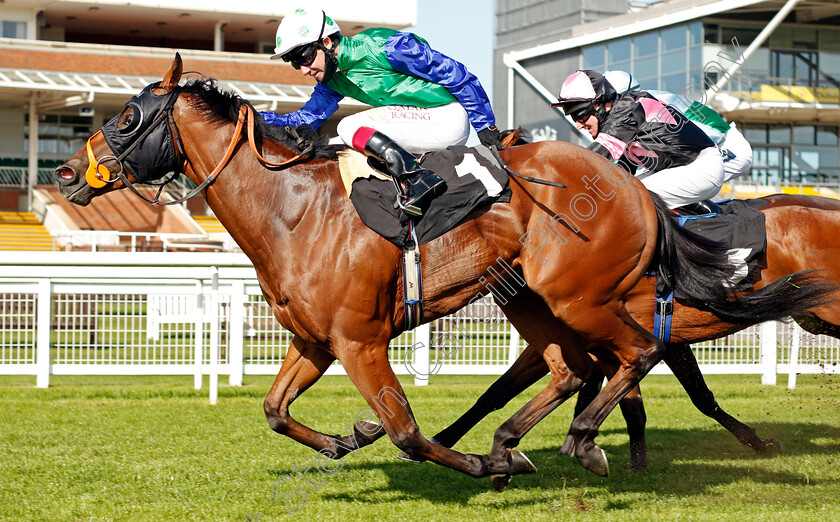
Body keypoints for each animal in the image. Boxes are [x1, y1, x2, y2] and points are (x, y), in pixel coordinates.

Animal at [55, 55, 836, 484]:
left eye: (126, 118)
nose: (63, 175)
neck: (295, 210)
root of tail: (634, 189)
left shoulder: (360, 340)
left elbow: (404, 428)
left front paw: (470, 464)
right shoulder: (314, 340)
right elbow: (275, 411)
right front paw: (343, 439)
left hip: (580, 299)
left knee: (631, 354)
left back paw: (576, 443)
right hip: (539, 302)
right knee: (577, 369)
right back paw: (535, 441)